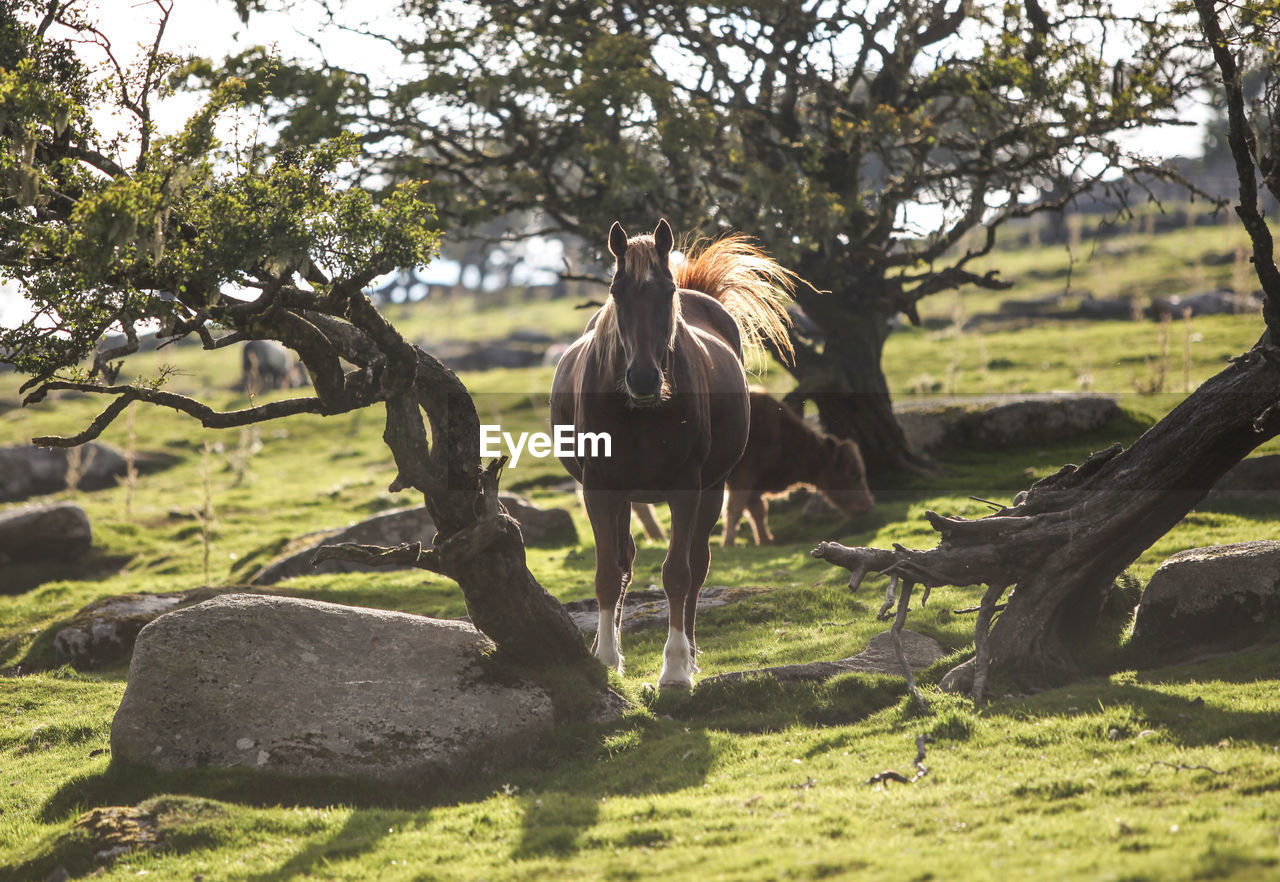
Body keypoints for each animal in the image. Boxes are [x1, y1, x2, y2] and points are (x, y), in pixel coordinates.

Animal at [552, 220, 793, 686]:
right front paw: (605, 658)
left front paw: (677, 669)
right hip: (625, 496)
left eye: (666, 292)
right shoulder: (600, 487)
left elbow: (677, 574)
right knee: (624, 561)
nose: (644, 379)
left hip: (712, 490)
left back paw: (692, 656)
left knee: (697, 566)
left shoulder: (686, 488)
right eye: (616, 292)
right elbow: (608, 572)